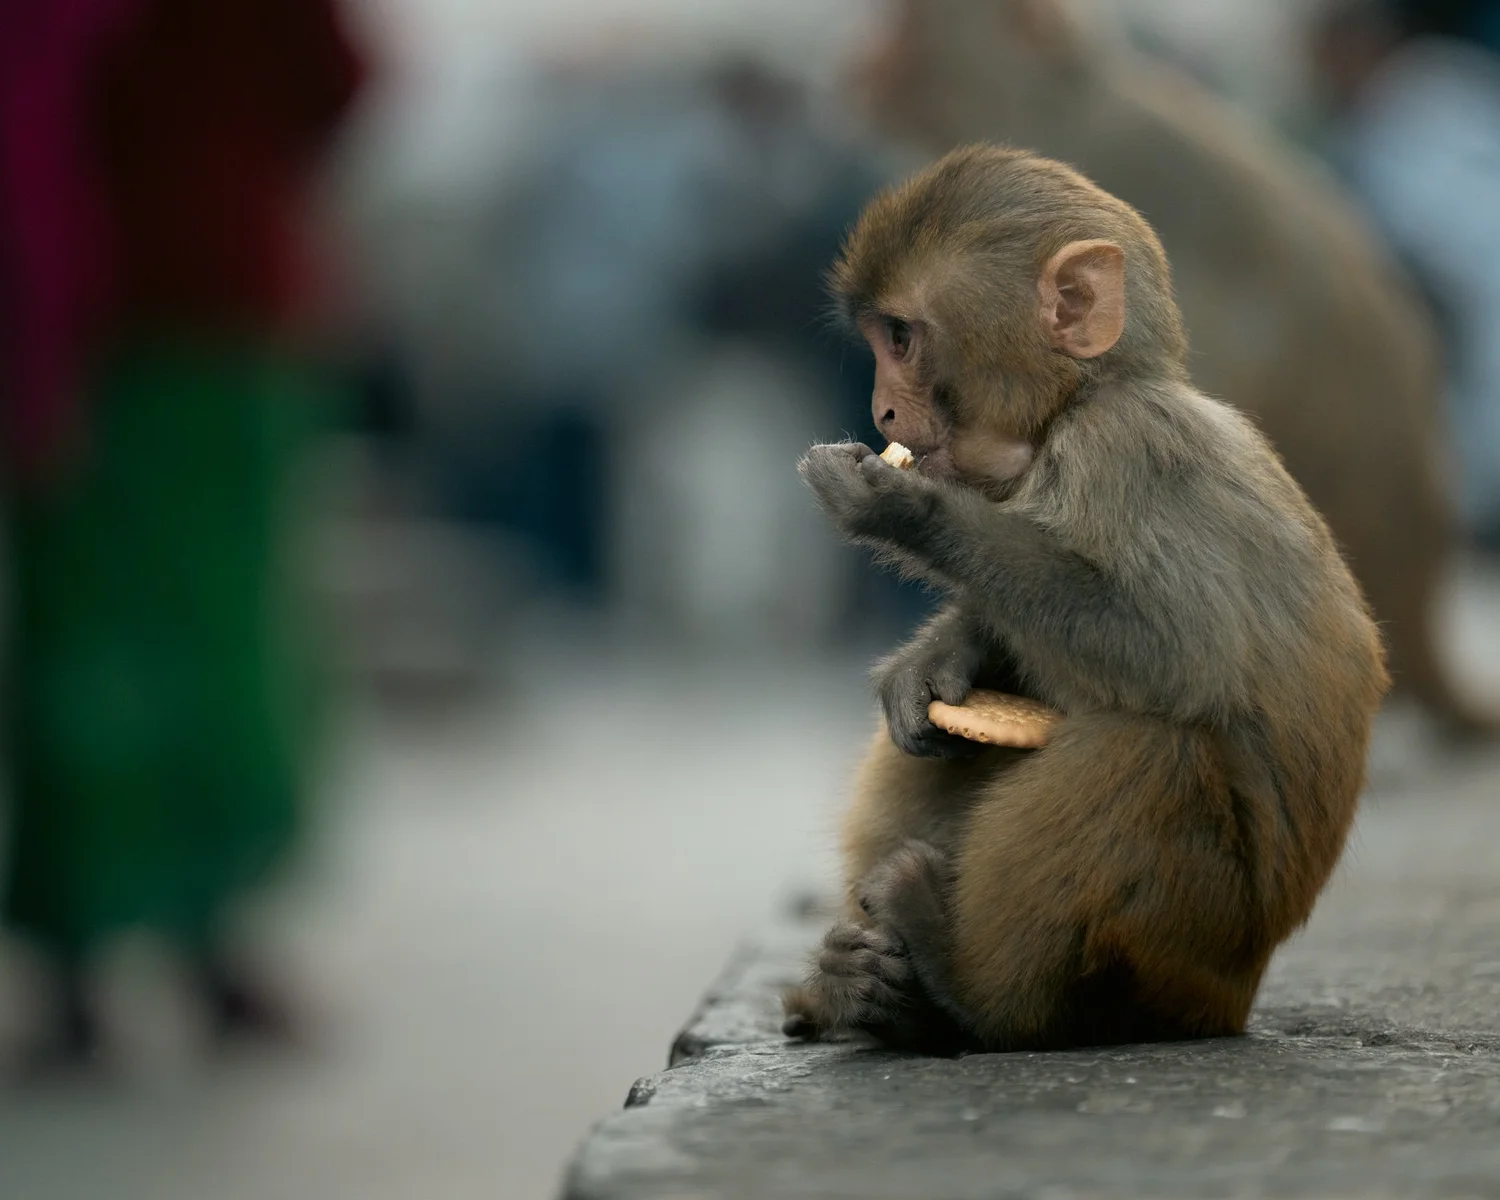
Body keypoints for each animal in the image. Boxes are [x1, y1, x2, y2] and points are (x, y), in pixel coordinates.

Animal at [781, 145, 1389, 1055]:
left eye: (901, 337)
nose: (881, 409)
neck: (1073, 406)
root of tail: (1231, 1001)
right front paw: (943, 655)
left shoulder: (1128, 449)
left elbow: (1174, 649)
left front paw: (902, 510)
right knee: (950, 746)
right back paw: (861, 989)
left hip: (1187, 944)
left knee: (1147, 751)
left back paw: (970, 992)